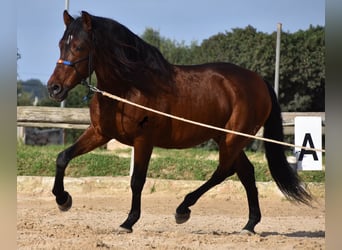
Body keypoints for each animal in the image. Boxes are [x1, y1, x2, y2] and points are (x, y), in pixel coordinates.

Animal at [46, 11, 312, 234]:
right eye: (60, 45)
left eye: (79, 46)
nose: (54, 88)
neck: (129, 88)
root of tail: (259, 81)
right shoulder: (100, 133)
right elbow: (62, 157)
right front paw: (63, 200)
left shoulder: (143, 141)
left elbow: (137, 181)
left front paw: (128, 222)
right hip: (224, 137)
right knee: (245, 172)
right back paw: (249, 225)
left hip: (233, 138)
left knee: (224, 171)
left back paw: (183, 209)